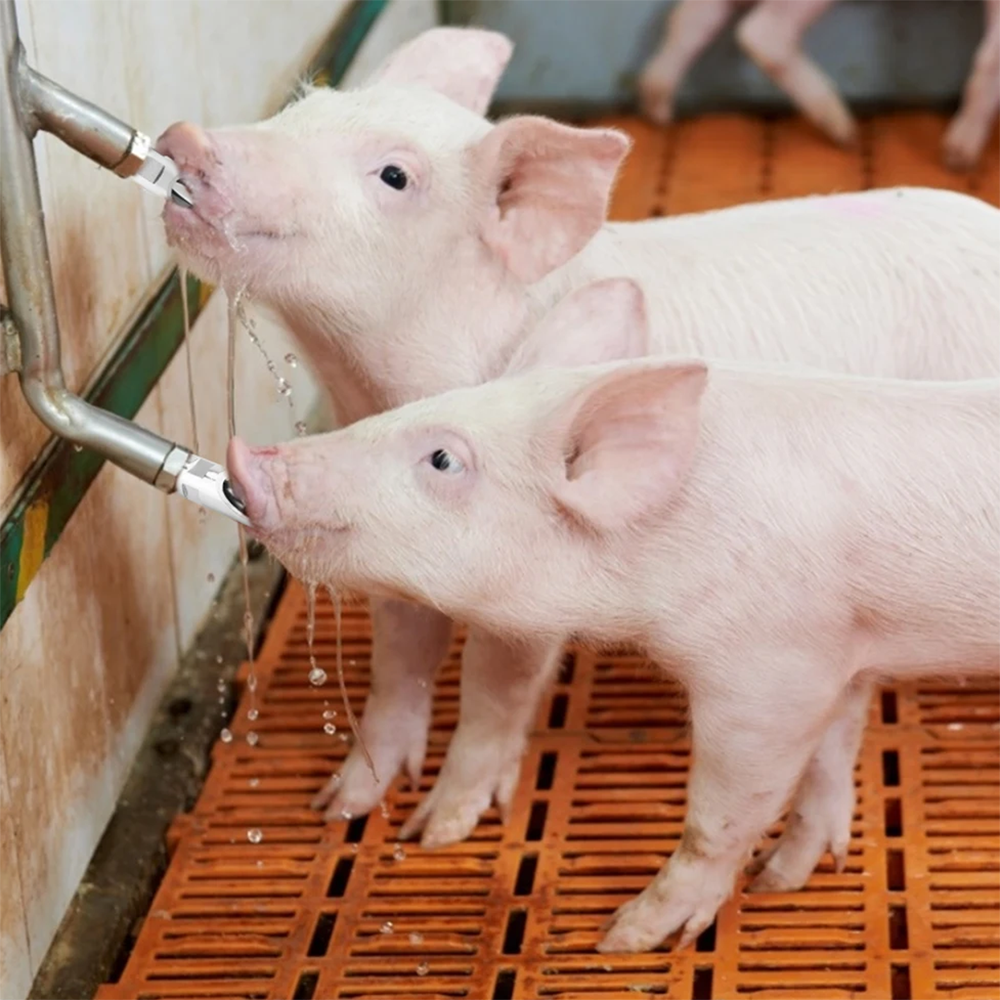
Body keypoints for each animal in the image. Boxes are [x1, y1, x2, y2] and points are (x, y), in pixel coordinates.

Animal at [155, 25, 1000, 864]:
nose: (185, 137)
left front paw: (439, 831)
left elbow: (494, 684)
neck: (372, 378)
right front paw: (341, 807)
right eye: (303, 106)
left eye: (395, 175)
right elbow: (401, 650)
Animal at [225, 278, 1000, 953]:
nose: (245, 456)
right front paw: (780, 880)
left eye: (443, 458)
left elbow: (721, 815)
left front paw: (623, 939)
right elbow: (831, 762)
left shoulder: (772, 670)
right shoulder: (846, 646)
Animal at [638, 0, 1000, 170]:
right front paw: (956, 162)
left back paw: (660, 111)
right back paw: (846, 132)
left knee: (690, 16)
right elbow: (990, 58)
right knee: (760, 33)